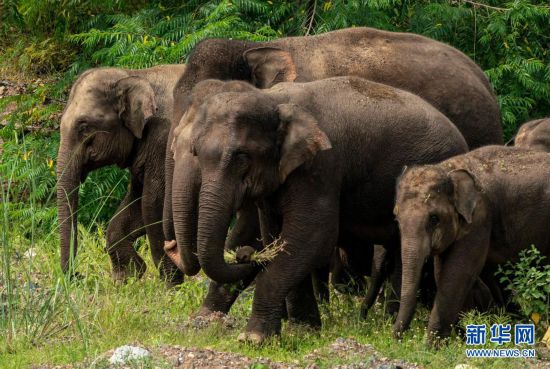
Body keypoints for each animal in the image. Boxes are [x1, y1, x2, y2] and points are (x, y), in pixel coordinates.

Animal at [58, 63, 187, 284]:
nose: (79, 276)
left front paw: (171, 287)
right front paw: (128, 277)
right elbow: (135, 203)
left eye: (84, 126)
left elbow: (153, 203)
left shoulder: (164, 141)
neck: (135, 75)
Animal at [171, 77, 470, 342]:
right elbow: (278, 236)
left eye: (242, 157)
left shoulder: (322, 167)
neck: (274, 99)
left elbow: (313, 236)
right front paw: (303, 330)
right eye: (197, 152)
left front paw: (254, 338)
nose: (244, 254)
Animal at [394, 145, 548, 344]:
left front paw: (431, 346)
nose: (397, 339)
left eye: (434, 218)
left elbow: (457, 274)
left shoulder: (480, 218)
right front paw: (463, 337)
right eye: (396, 218)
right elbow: (443, 272)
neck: (449, 168)